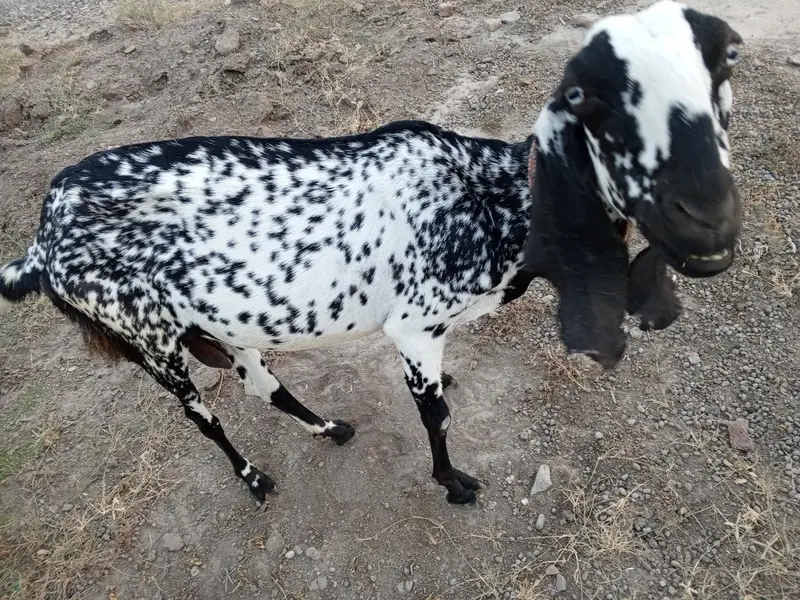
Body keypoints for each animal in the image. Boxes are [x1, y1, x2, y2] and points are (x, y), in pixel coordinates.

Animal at [1, 1, 742, 506]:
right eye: (586, 96)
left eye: (726, 64)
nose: (708, 218)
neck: (486, 197)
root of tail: (40, 242)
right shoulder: (414, 326)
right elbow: (434, 412)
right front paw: (454, 483)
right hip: (147, 337)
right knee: (201, 415)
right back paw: (255, 478)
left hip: (221, 324)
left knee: (260, 381)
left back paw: (329, 427)